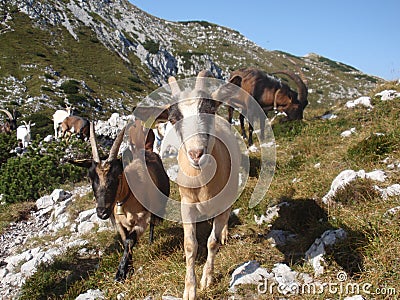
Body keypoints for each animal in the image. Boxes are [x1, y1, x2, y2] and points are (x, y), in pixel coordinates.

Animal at [134, 71, 241, 300]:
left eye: (210, 110)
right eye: (174, 118)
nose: (196, 154)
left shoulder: (221, 203)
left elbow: (212, 242)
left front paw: (207, 279)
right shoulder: (187, 205)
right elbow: (190, 245)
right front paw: (189, 289)